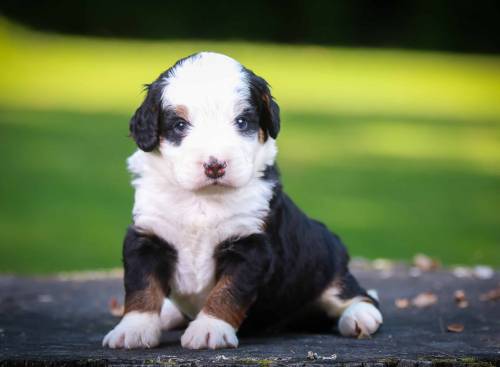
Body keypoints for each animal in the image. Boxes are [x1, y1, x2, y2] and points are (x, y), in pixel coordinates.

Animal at [102, 51, 382, 350]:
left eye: (241, 122)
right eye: (179, 125)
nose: (215, 165)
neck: (202, 201)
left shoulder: (252, 245)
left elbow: (227, 292)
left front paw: (209, 329)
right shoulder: (147, 236)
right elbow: (142, 287)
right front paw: (133, 330)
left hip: (325, 264)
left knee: (355, 295)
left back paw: (361, 317)